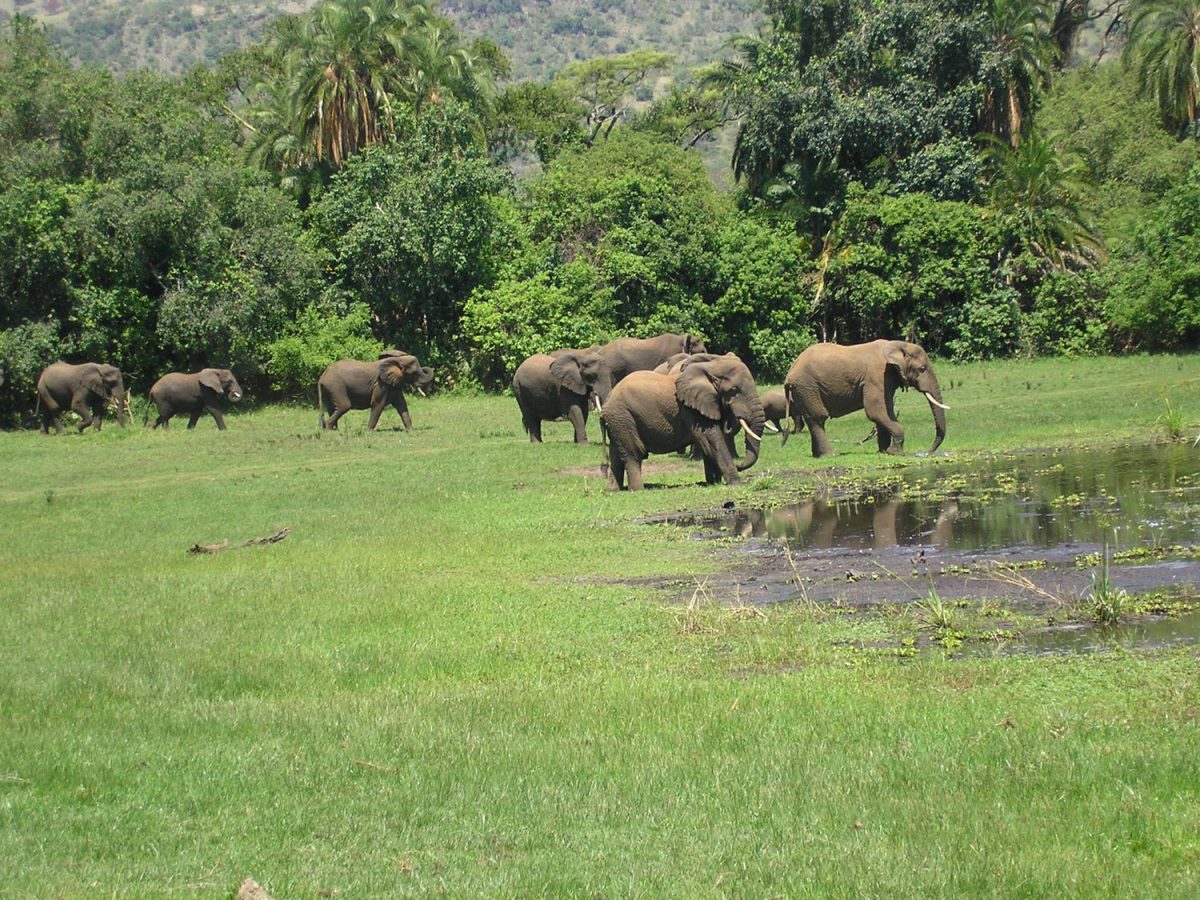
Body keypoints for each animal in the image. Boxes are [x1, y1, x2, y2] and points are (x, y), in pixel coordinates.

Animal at [597, 355, 763, 494]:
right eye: (734, 390)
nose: (739, 465)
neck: (711, 367)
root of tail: (606, 404)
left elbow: (710, 442)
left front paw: (713, 483)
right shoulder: (691, 410)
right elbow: (711, 439)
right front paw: (737, 484)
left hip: (617, 421)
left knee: (617, 455)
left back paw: (613, 490)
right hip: (623, 417)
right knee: (633, 454)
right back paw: (638, 490)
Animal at [782, 340, 950, 458]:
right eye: (922, 369)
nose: (928, 452)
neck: (897, 345)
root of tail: (789, 373)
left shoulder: (886, 379)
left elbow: (885, 412)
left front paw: (883, 451)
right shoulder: (876, 377)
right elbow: (876, 411)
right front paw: (896, 453)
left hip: (803, 391)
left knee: (812, 420)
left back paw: (817, 455)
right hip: (807, 387)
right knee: (818, 418)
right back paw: (831, 455)